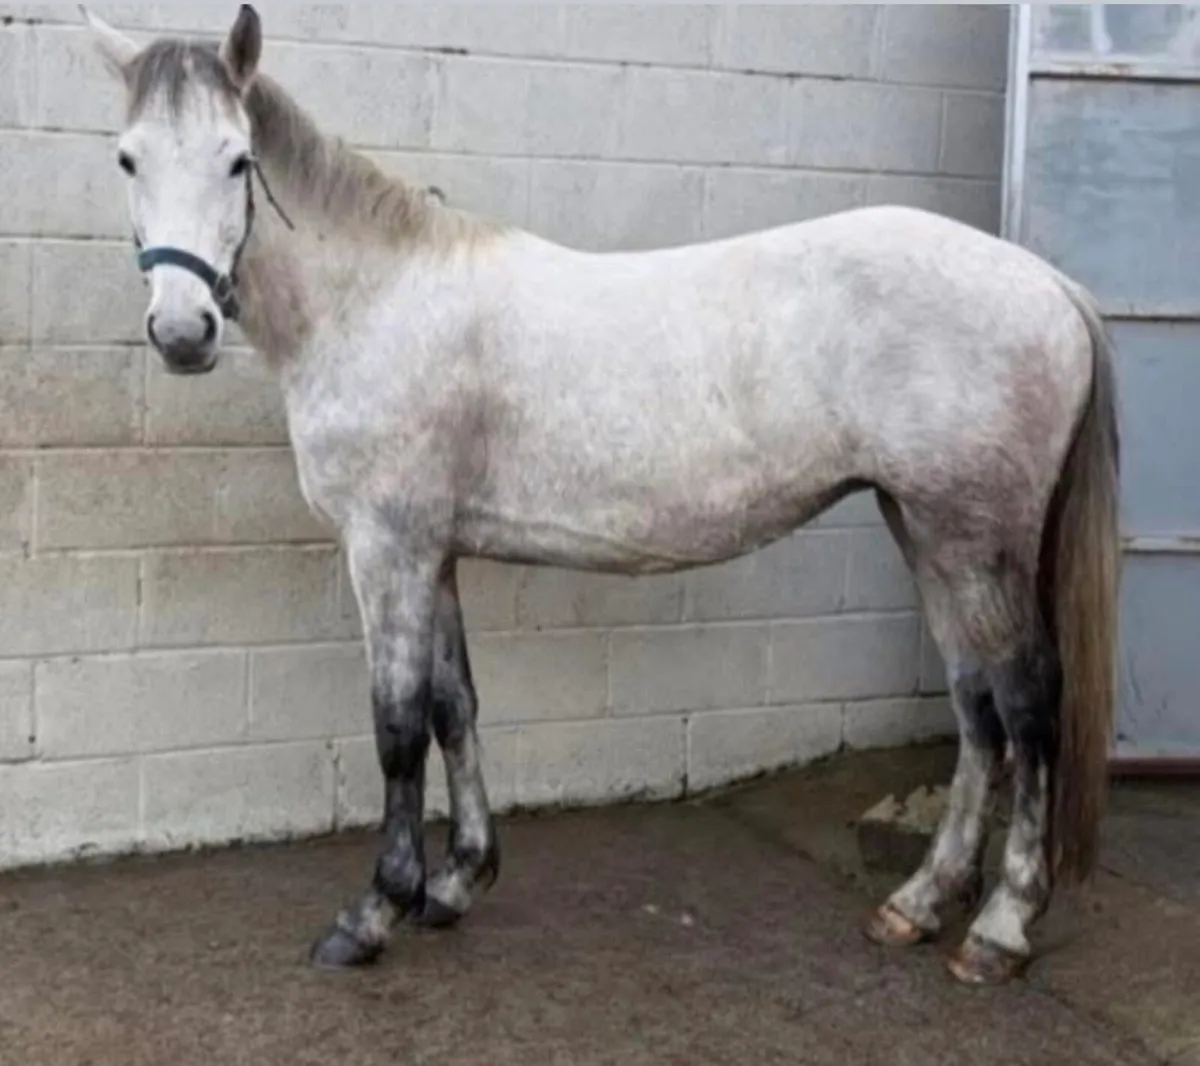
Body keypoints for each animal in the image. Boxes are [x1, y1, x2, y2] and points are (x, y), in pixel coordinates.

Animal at [80, 4, 1120, 986]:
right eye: (127, 157)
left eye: (237, 159)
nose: (183, 331)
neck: (376, 299)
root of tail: (1052, 285)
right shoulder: (435, 551)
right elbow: (456, 707)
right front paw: (456, 883)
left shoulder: (387, 547)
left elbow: (398, 725)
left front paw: (373, 912)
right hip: (926, 529)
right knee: (976, 704)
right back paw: (920, 902)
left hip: (975, 540)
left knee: (1027, 703)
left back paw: (999, 928)